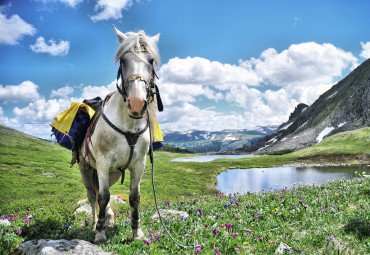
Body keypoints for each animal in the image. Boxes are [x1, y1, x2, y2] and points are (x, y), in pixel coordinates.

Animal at [78, 26, 160, 245]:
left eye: (151, 61)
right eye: (123, 60)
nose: (137, 104)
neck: (128, 126)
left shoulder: (138, 164)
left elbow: (134, 197)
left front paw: (137, 232)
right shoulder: (103, 163)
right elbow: (103, 196)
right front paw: (99, 234)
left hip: (113, 173)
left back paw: (109, 219)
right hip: (87, 169)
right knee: (93, 195)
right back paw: (95, 223)